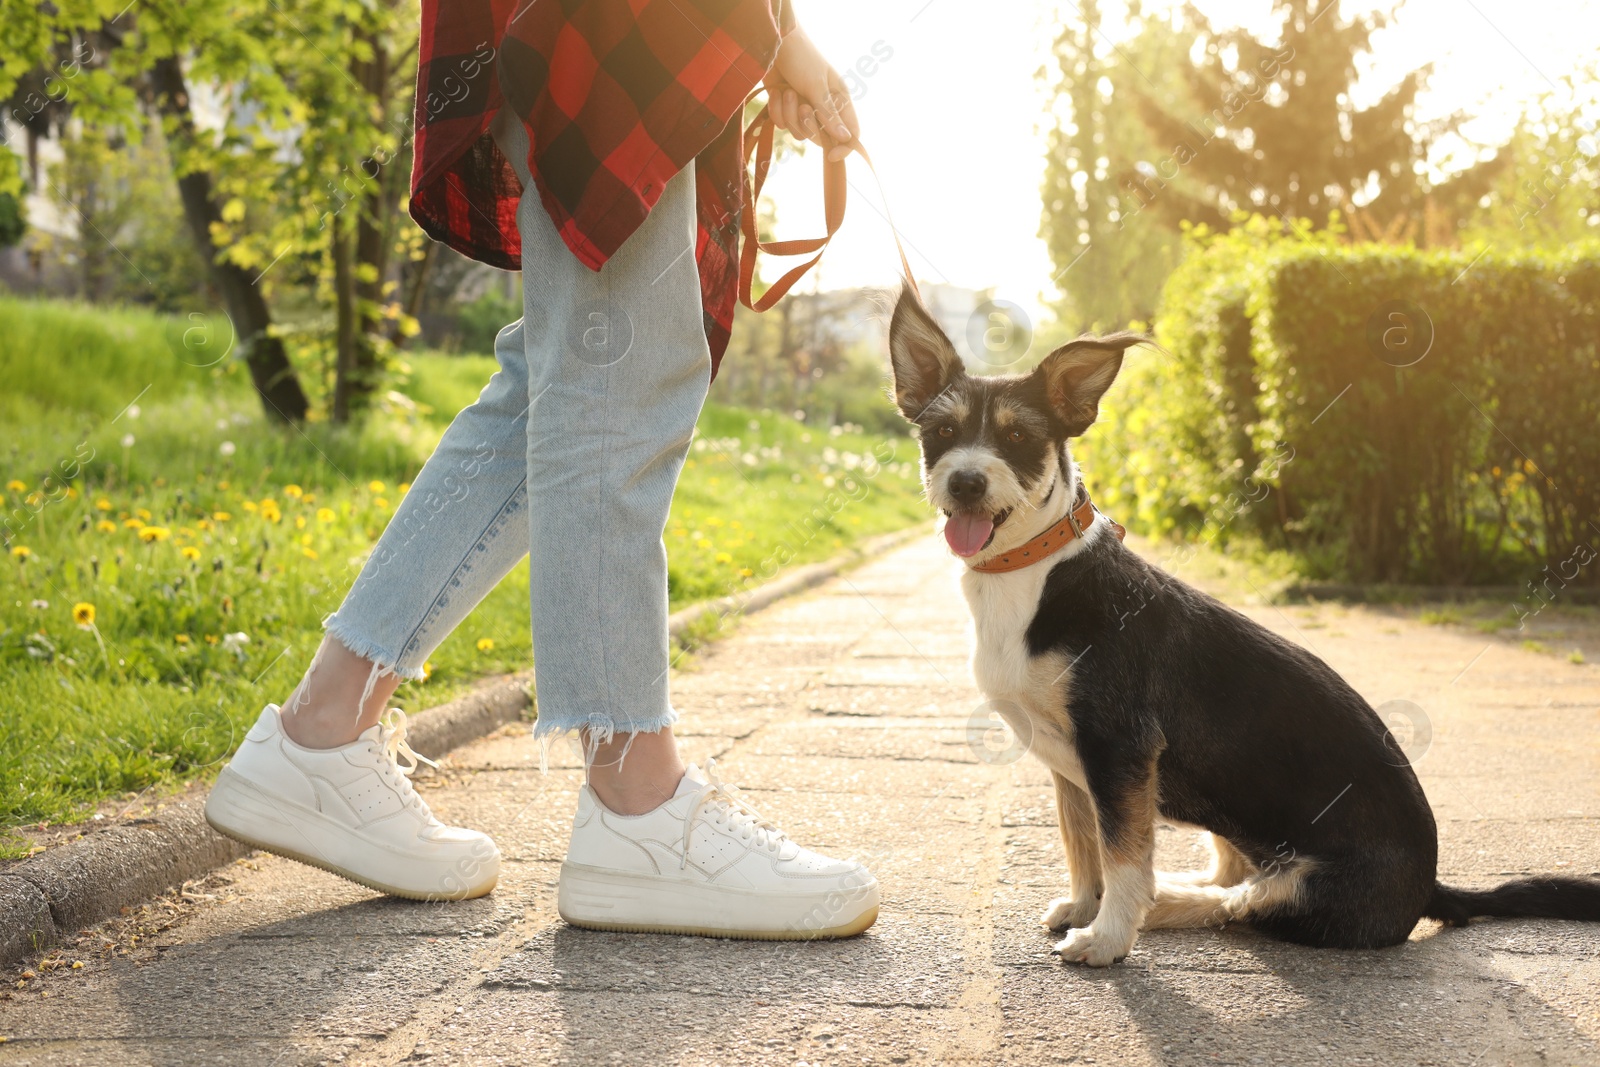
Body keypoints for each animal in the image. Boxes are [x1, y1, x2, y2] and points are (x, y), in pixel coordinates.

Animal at [889, 286, 1600, 966]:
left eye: (1017, 438)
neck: (1034, 572)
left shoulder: (1119, 748)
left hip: (1307, 887)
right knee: (1229, 876)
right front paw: (1084, 906)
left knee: (1237, 901)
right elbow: (1083, 843)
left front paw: (1108, 936)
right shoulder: (1074, 767)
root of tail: (1428, 887)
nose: (966, 481)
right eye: (941, 431)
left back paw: (1164, 902)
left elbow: (1123, 858)